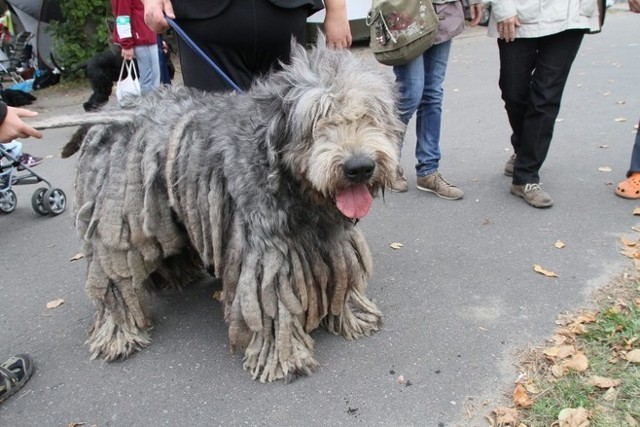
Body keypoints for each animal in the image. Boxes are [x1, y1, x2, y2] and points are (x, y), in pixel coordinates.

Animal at [35, 36, 402, 382]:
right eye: (317, 120)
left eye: (370, 116)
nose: (359, 167)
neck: (294, 186)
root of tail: (110, 114)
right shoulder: (267, 255)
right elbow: (274, 305)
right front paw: (284, 357)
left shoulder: (331, 242)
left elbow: (342, 274)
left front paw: (353, 315)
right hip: (120, 224)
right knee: (114, 281)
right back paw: (118, 334)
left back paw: (177, 275)